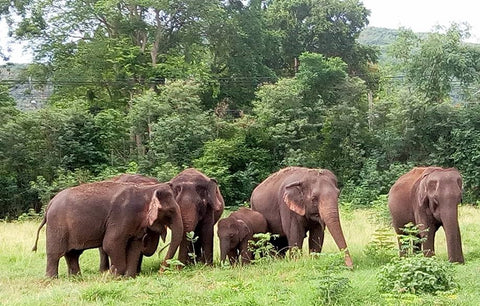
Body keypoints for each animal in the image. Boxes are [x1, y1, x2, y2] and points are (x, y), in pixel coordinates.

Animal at [31, 180, 183, 278]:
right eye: (170, 212)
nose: (160, 272)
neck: (146, 190)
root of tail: (50, 204)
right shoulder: (122, 215)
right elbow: (111, 243)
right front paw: (114, 276)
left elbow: (135, 246)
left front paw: (128, 277)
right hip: (57, 225)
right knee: (55, 254)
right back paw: (51, 279)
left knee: (73, 254)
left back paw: (76, 278)